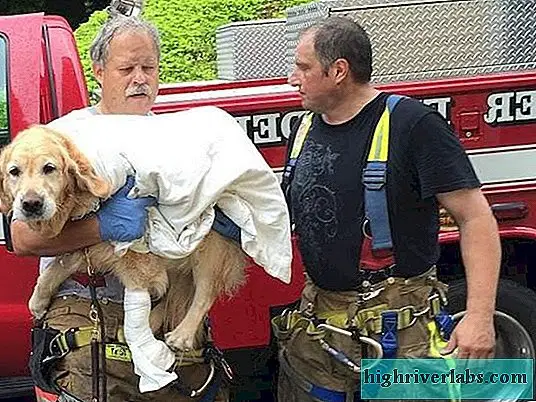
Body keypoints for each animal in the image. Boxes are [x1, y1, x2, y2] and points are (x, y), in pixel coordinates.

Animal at [0, 125, 248, 352]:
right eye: (14, 171)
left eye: (49, 168)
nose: (31, 204)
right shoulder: (89, 247)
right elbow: (55, 268)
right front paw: (38, 302)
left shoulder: (138, 260)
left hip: (210, 249)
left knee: (204, 293)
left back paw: (181, 336)